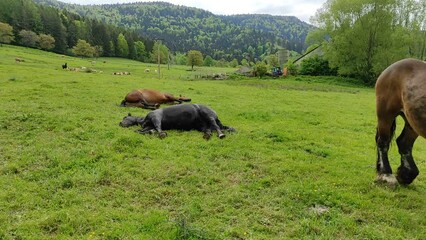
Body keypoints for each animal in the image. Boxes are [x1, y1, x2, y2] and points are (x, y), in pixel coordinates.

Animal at [376, 58, 426, 186]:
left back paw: (406, 174)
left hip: (412, 121)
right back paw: (386, 174)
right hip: (385, 114)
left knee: (404, 143)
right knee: (383, 141)